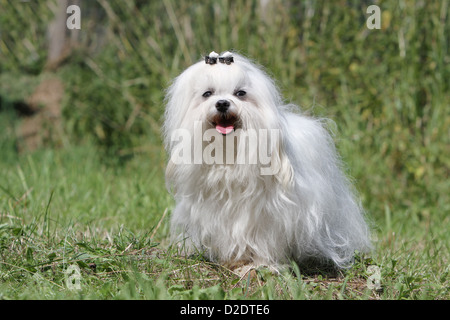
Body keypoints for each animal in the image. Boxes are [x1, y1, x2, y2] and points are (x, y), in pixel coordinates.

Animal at [163, 51, 370, 272]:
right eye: (207, 94)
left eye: (240, 93)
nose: (222, 103)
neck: (230, 155)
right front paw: (235, 261)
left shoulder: (267, 216)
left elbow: (263, 239)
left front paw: (262, 264)